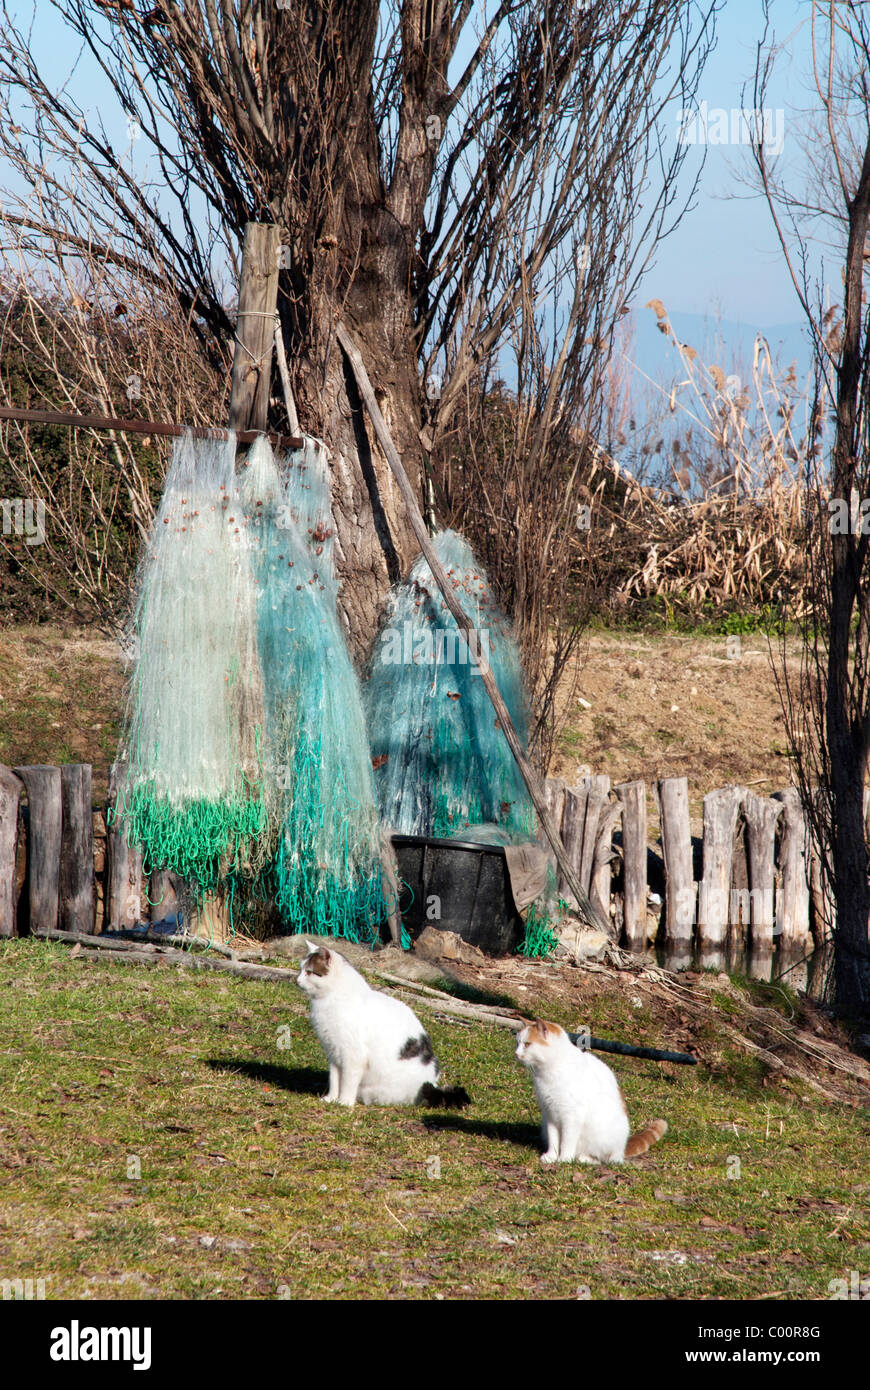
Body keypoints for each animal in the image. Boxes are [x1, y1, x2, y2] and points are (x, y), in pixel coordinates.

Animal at [293, 939, 466, 1112]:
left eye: (309, 972)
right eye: (301, 970)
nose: (297, 980)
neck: (329, 1000)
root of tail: (432, 1085)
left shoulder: (353, 1056)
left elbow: (347, 1082)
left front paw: (344, 1103)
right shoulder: (334, 1053)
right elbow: (335, 1080)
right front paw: (331, 1099)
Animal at [514, 1023, 664, 1162]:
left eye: (527, 1044)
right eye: (517, 1043)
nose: (516, 1053)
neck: (550, 1070)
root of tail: (622, 1149)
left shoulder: (572, 1116)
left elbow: (567, 1142)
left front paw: (564, 1159)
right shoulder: (550, 1113)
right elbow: (553, 1140)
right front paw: (551, 1157)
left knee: (606, 1158)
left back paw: (584, 1158)